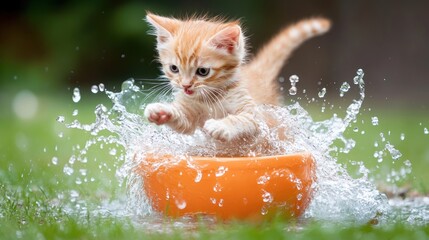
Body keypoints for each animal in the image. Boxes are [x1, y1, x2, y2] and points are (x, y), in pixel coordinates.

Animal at [143, 13, 328, 142]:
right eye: (174, 69)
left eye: (202, 71)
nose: (186, 86)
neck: (211, 98)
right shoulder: (189, 114)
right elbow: (183, 120)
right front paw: (162, 111)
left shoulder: (255, 116)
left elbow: (241, 119)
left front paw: (221, 125)